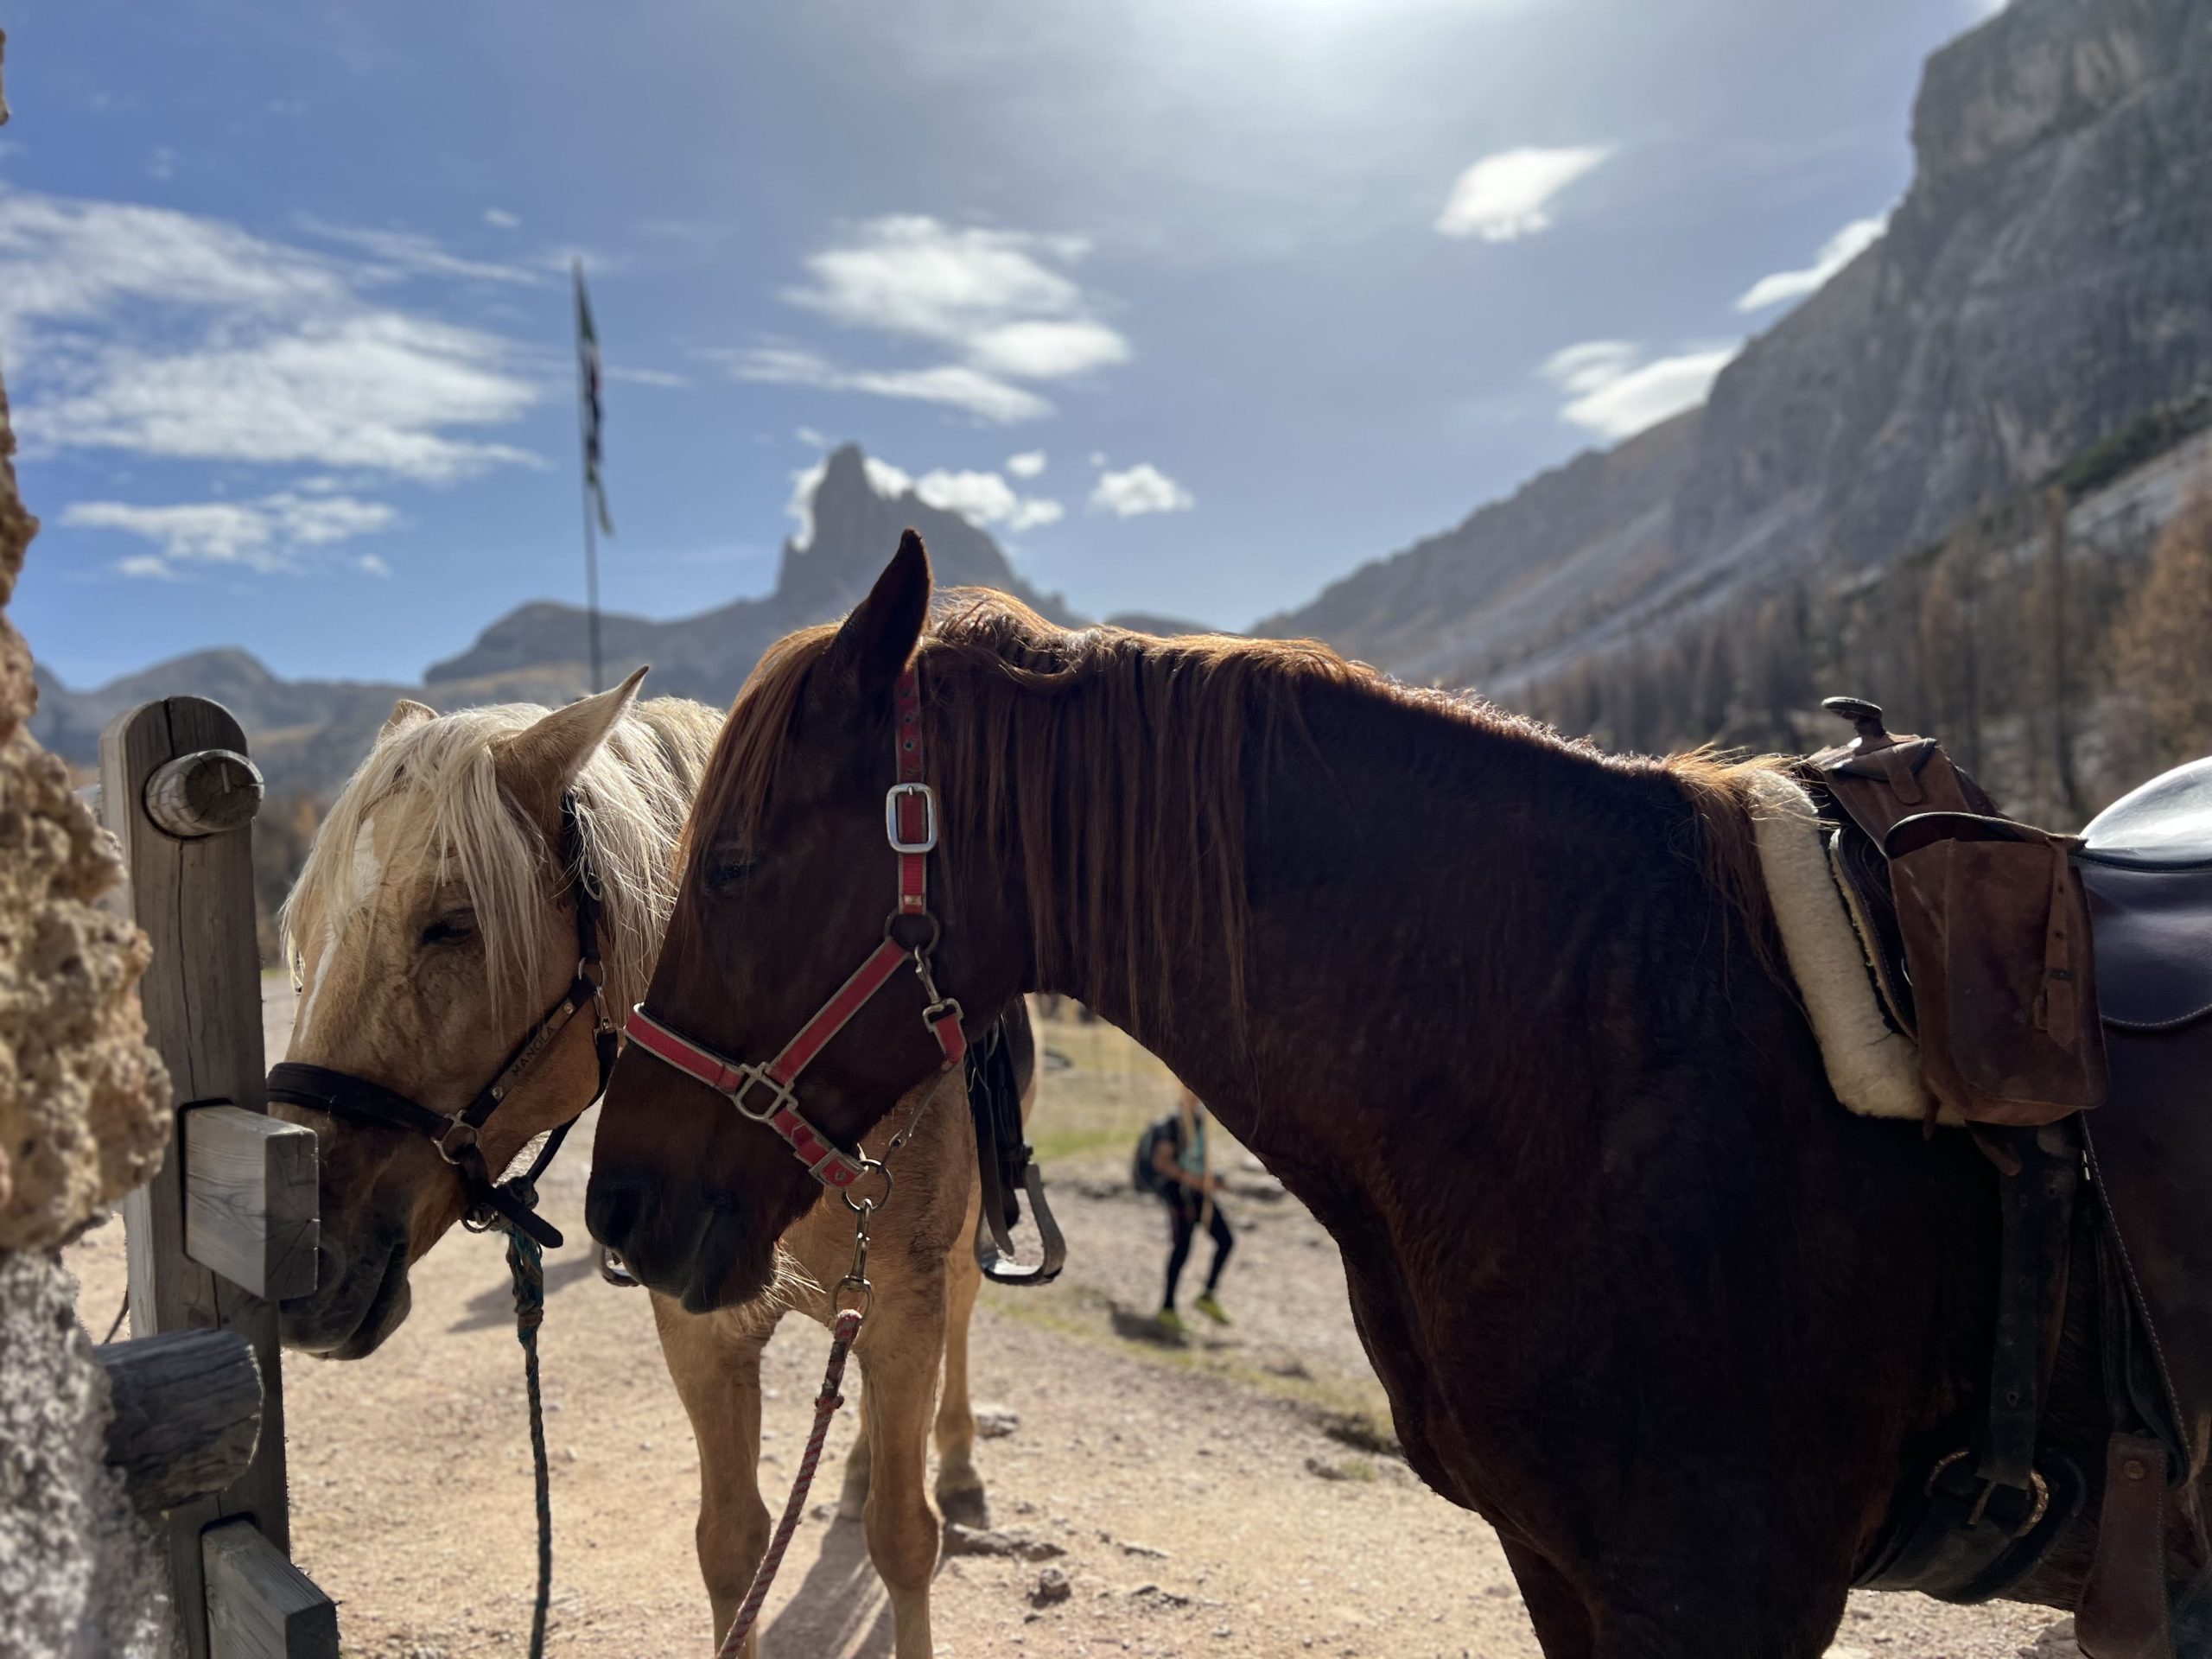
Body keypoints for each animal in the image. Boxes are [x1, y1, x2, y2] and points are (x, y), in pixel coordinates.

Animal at [269, 671, 1028, 1658]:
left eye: (452, 925)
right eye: (308, 935)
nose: (293, 1257)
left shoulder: (906, 1313)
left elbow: (904, 1539)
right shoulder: (701, 1332)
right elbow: (732, 1547)